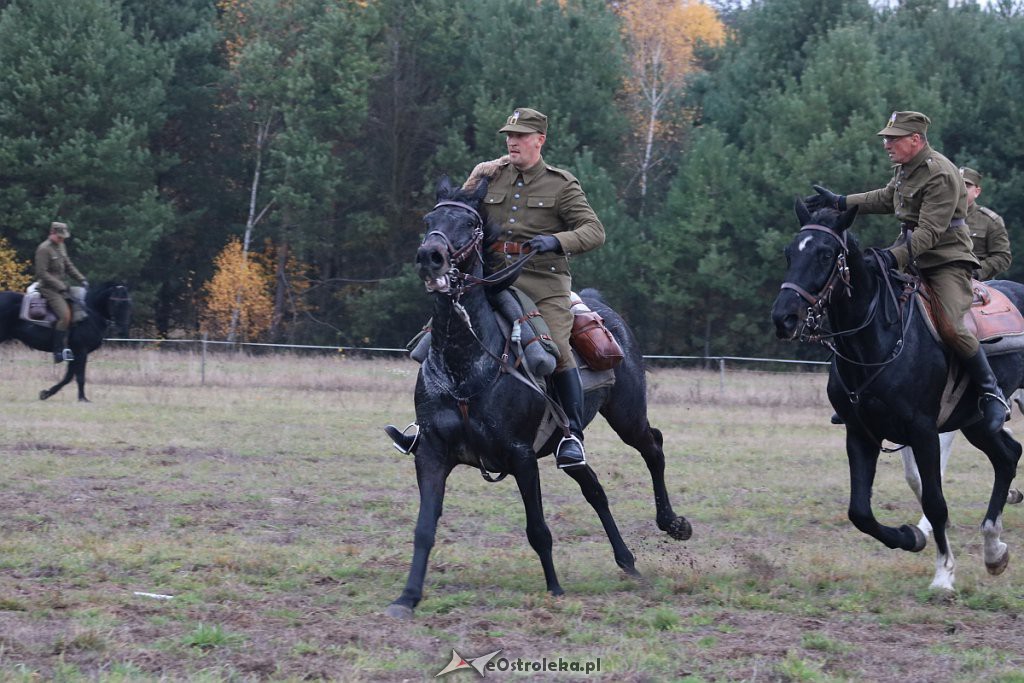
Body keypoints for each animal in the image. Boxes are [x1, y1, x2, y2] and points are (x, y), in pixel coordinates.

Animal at [0, 282, 132, 403]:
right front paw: (82, 398)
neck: (89, 314)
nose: (122, 330)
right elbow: (79, 376)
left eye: (129, 304)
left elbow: (68, 377)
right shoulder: (81, 351)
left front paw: (46, 393)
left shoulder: (74, 354)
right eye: (116, 303)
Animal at [387, 176, 692, 618]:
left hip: (627, 416)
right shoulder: (431, 453)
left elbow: (538, 529)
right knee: (594, 489)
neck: (466, 366)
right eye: (429, 220)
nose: (431, 256)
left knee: (653, 446)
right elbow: (424, 528)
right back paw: (628, 562)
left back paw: (672, 524)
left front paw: (555, 589)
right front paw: (408, 597)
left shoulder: (521, 457)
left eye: (471, 223)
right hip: (571, 442)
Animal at [770, 200, 1019, 589]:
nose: (784, 318)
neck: (876, 339)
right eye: (788, 252)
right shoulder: (860, 433)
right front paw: (909, 537)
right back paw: (994, 550)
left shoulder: (924, 431)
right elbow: (860, 511)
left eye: (825, 254)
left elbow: (934, 501)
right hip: (977, 421)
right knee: (1007, 457)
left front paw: (943, 573)